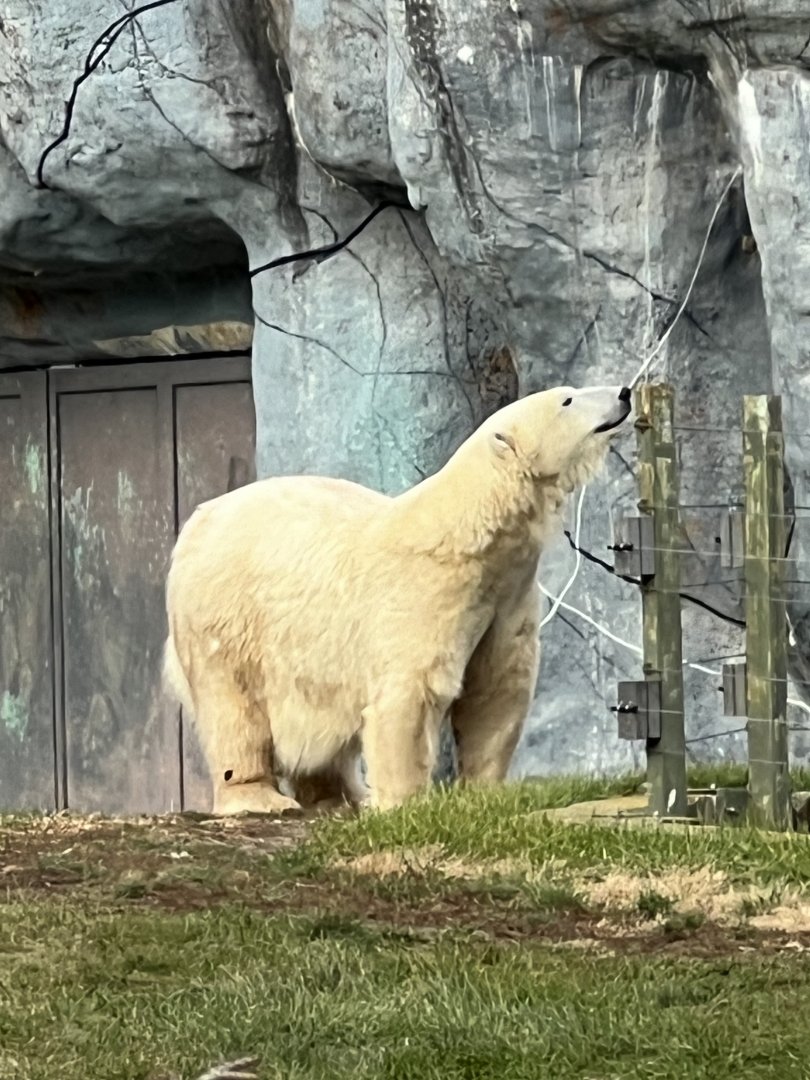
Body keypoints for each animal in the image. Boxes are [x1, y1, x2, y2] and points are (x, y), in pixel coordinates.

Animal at [163, 383, 632, 815]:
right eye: (567, 400)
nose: (624, 393)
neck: (471, 533)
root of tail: (197, 521)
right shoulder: (425, 593)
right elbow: (411, 691)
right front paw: (404, 802)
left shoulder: (506, 597)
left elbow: (496, 689)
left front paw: (483, 793)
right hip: (225, 616)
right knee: (233, 707)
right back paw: (261, 797)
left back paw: (341, 797)